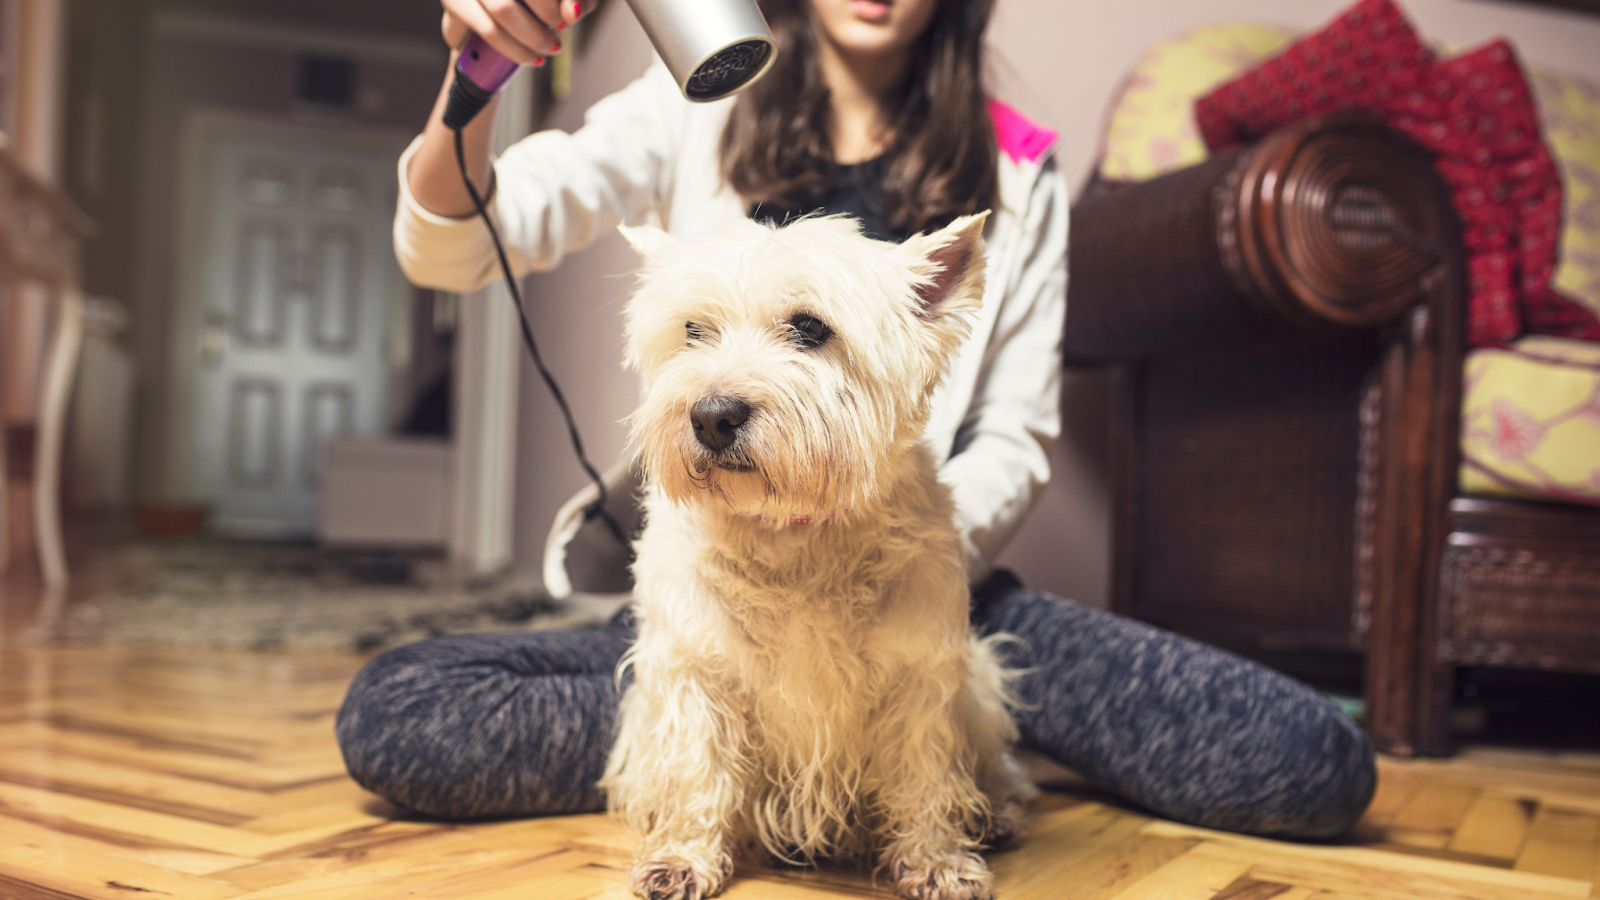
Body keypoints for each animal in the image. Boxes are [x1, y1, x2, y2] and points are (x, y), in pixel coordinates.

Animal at [601, 211, 1036, 896]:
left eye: (810, 328)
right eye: (693, 331)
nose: (712, 416)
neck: (792, 532)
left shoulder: (916, 673)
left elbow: (922, 770)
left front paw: (937, 859)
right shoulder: (696, 666)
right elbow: (698, 766)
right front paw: (682, 857)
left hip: (982, 684)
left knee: (992, 762)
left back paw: (999, 815)